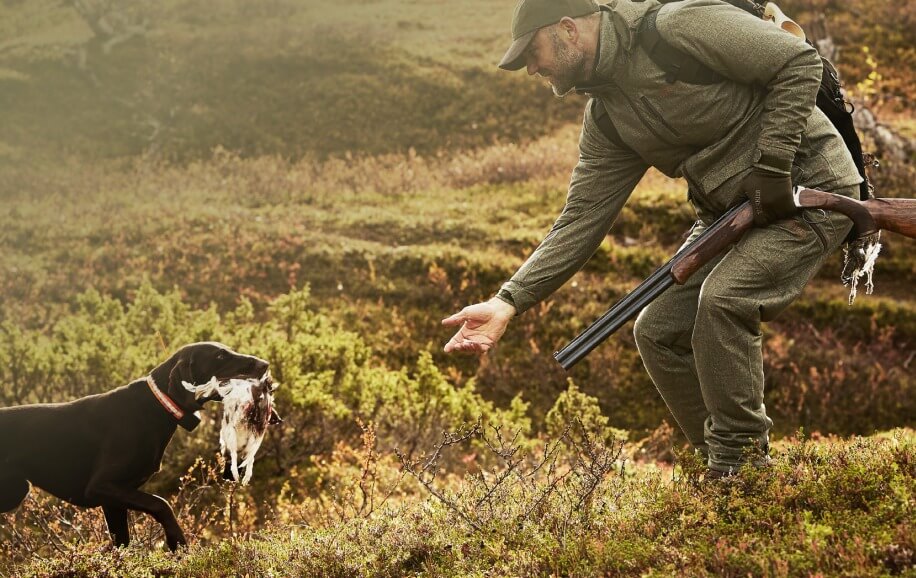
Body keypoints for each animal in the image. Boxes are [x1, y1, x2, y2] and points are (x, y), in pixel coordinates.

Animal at [0, 342, 270, 548]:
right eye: (219, 356)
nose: (265, 364)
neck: (157, 407)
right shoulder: (102, 486)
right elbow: (161, 503)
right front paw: (176, 541)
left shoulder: (113, 501)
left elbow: (122, 543)